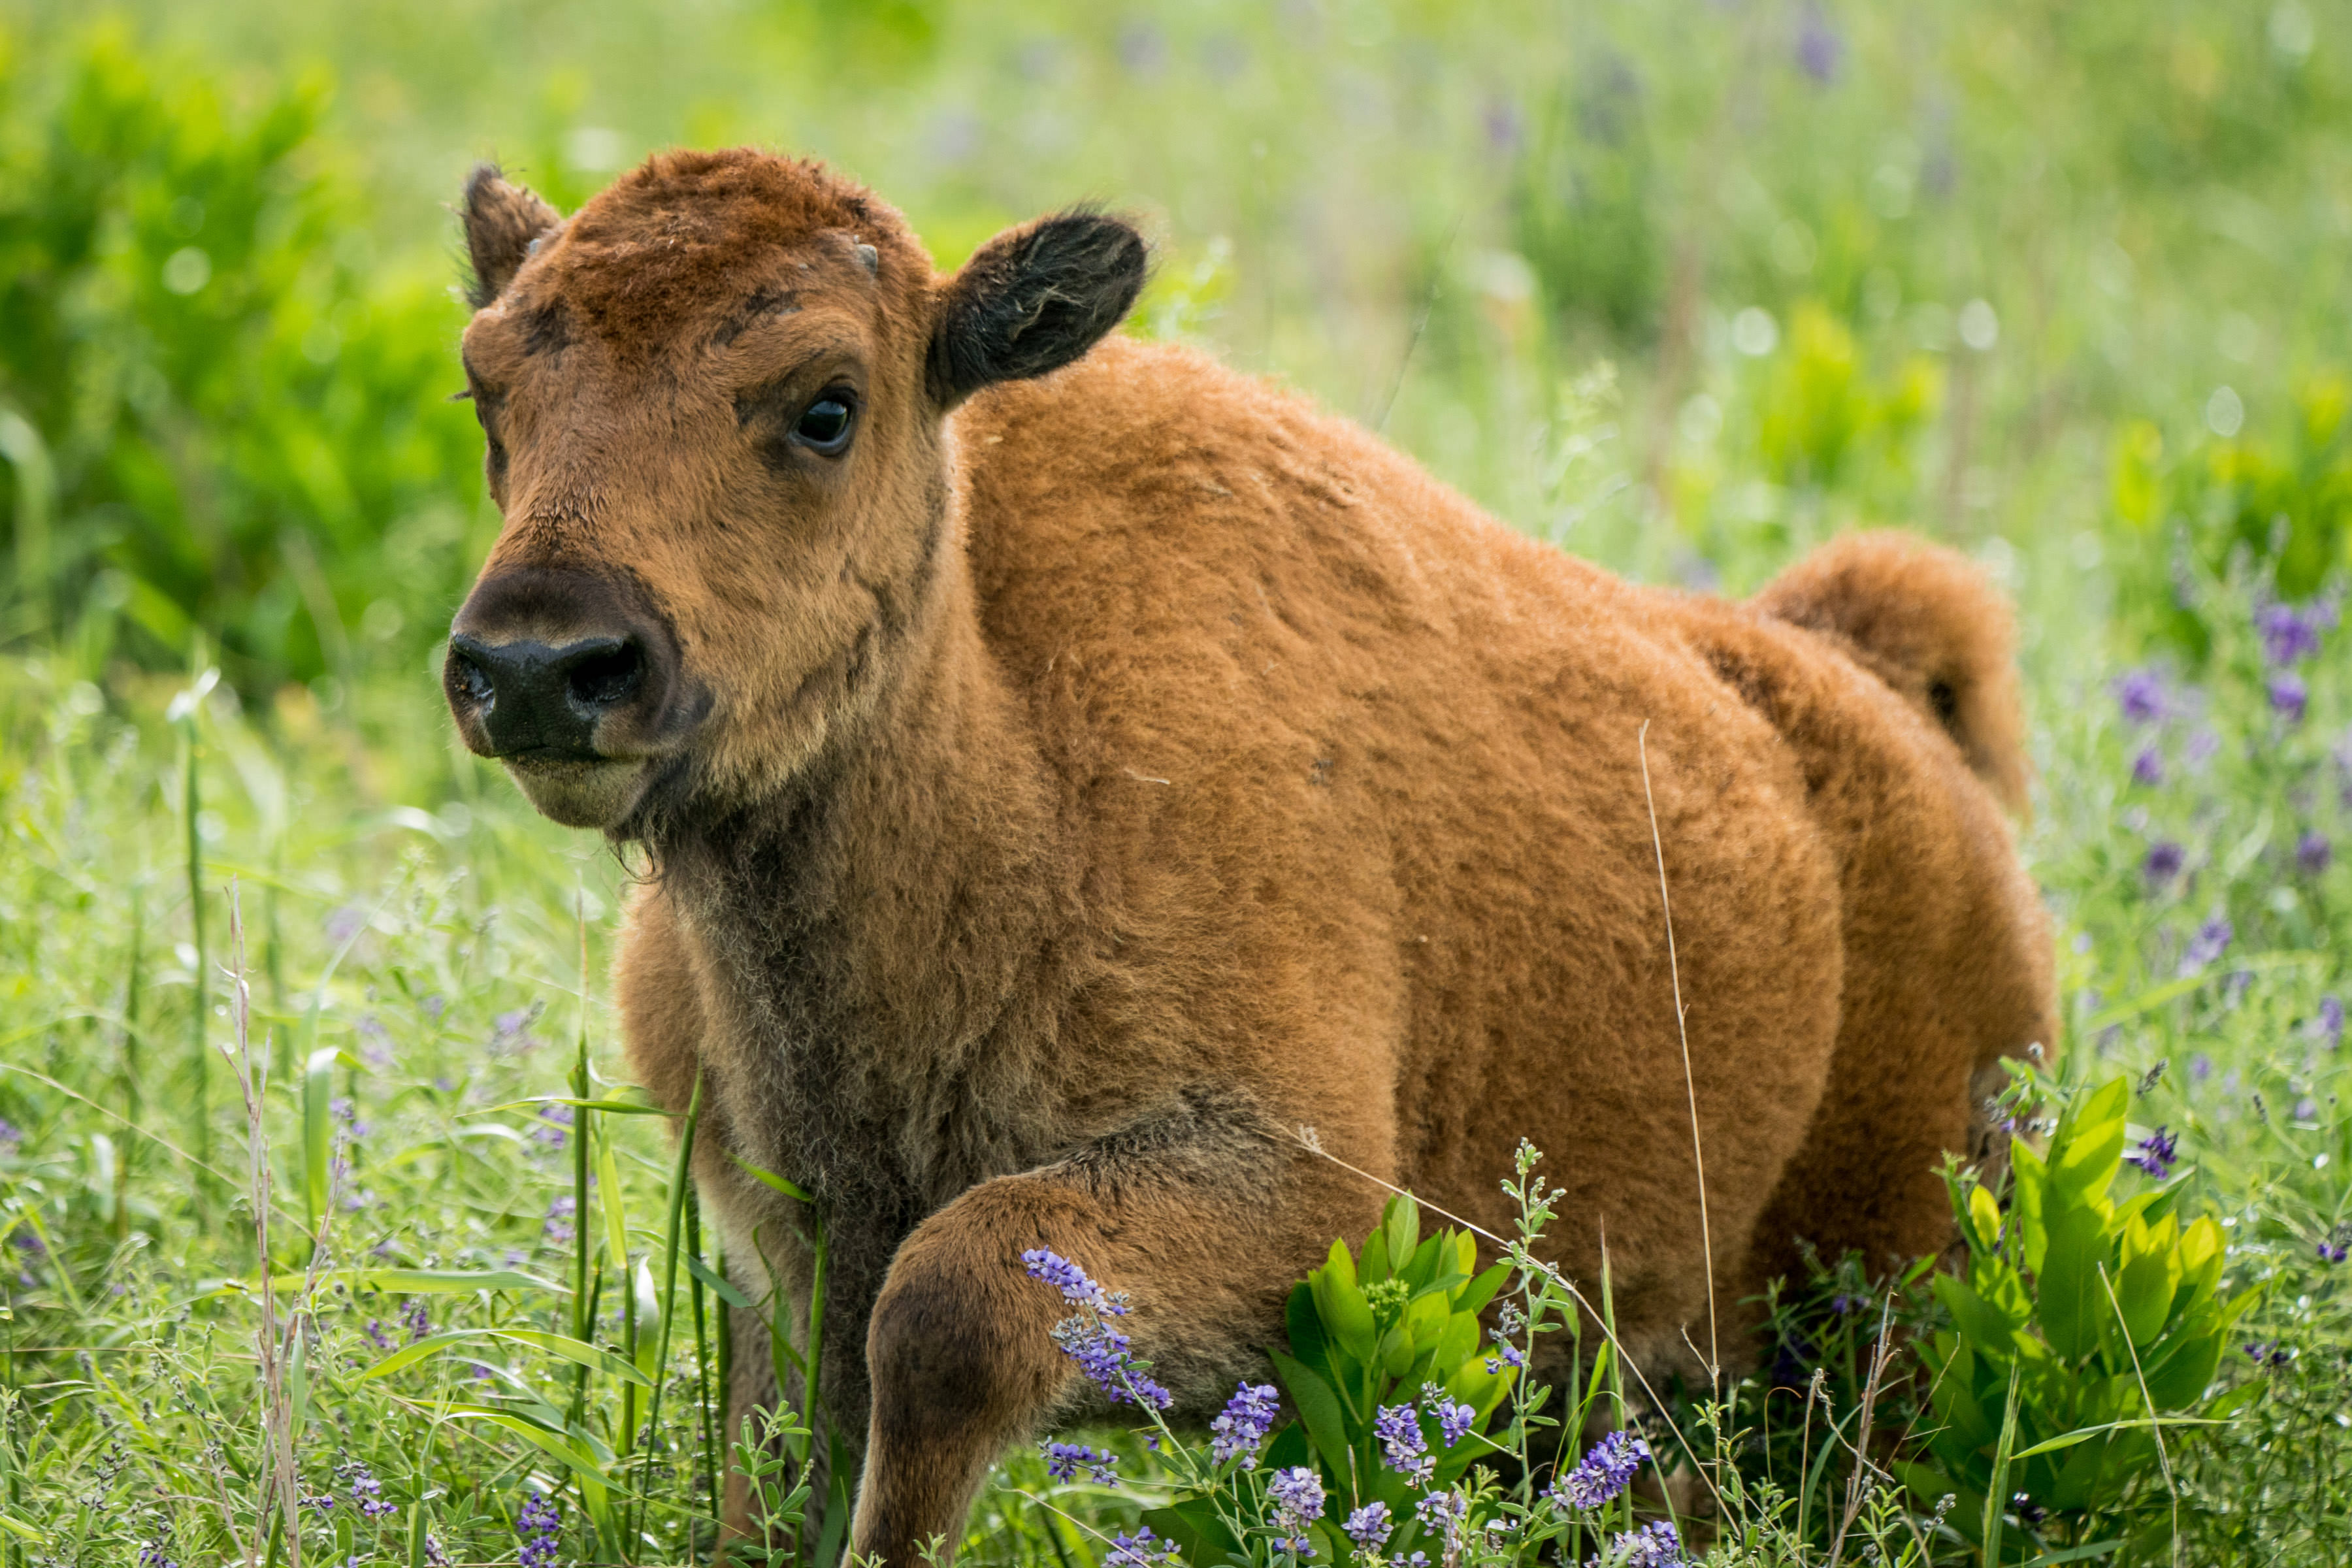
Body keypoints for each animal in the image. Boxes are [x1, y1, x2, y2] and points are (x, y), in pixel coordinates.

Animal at [441, 147, 2054, 1563]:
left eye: (827, 407)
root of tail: (1866, 687)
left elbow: (948, 1315)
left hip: (1888, 1297)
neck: (999, 738)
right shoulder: (778, 1254)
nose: (539, 664)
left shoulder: (1298, 1197)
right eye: (488, 396)